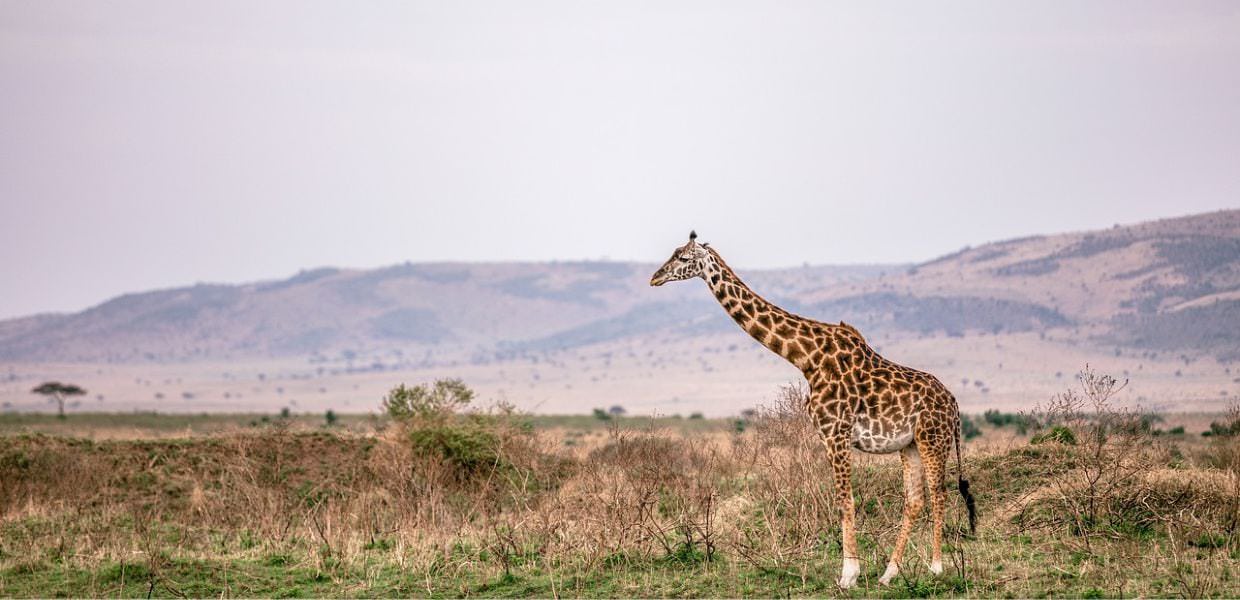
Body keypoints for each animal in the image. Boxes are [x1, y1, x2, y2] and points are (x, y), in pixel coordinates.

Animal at [650, 231, 976, 589]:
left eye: (683, 258)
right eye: (673, 253)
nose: (655, 277)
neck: (806, 357)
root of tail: (954, 404)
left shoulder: (837, 432)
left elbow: (845, 499)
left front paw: (849, 575)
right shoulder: (829, 435)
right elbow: (846, 499)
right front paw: (855, 572)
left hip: (934, 439)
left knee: (939, 493)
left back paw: (936, 568)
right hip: (911, 445)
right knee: (915, 500)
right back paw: (889, 574)